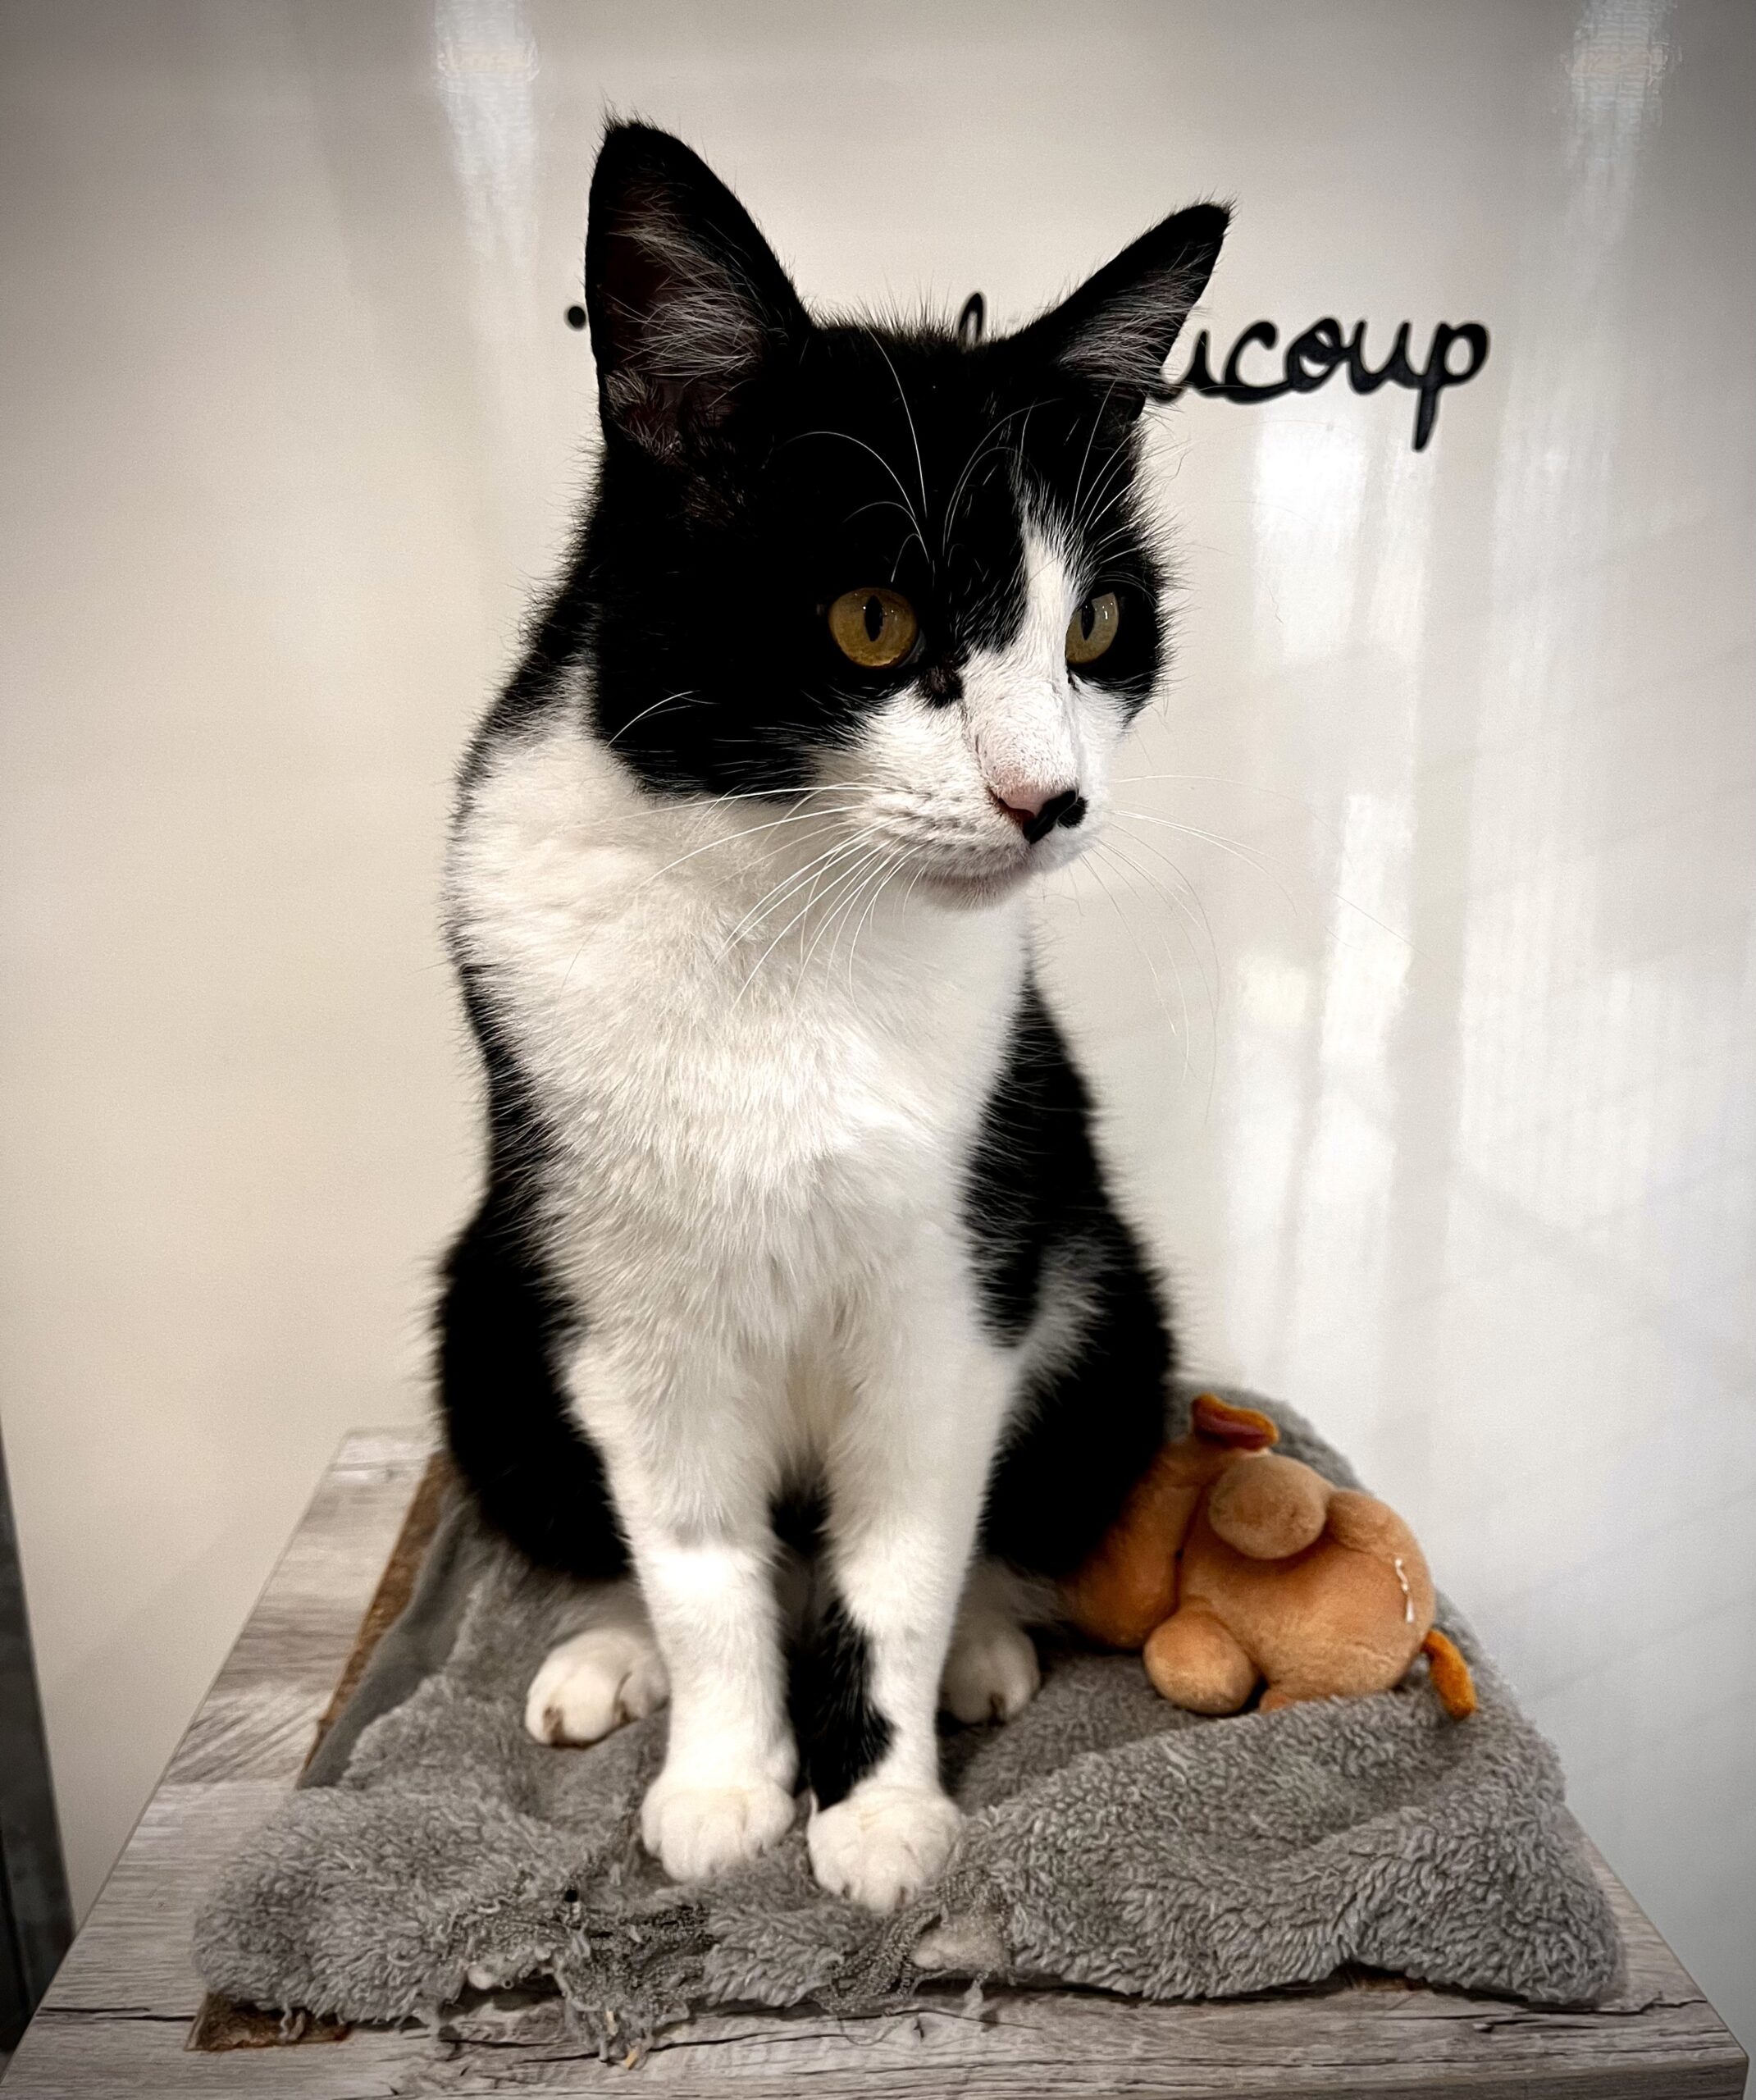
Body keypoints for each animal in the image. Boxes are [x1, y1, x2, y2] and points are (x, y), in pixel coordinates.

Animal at [439, 121, 1226, 1912]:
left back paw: (990, 1643)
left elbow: (900, 1560)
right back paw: (605, 1651)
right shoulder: (624, 1305)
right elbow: (698, 1560)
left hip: (1102, 1294)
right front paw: (726, 1779)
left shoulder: (951, 1275)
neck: (776, 918)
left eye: (1092, 628)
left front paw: (879, 1811)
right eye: (873, 619)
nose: (1049, 799)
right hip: (488, 1311)